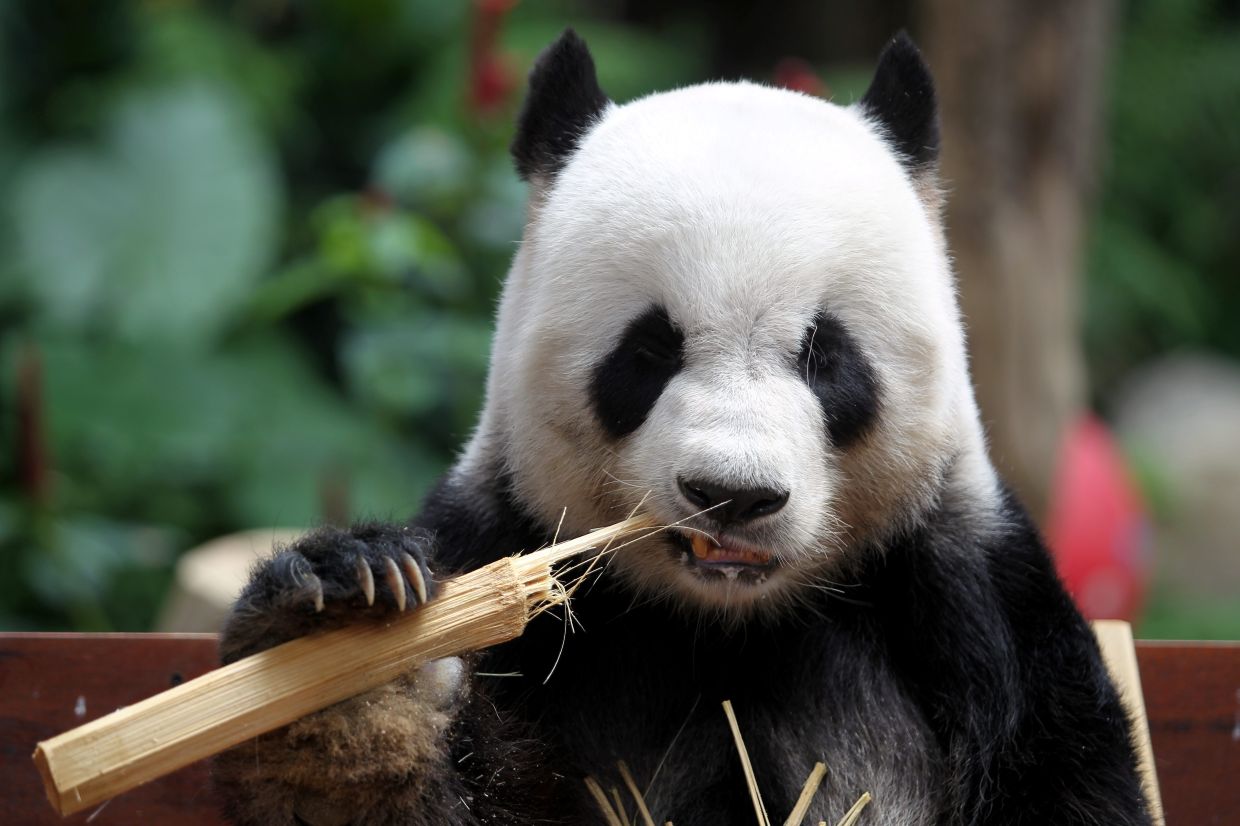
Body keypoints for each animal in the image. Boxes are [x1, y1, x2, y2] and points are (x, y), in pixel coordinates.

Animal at [214, 30, 1152, 826]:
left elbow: (1067, 774)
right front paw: (349, 663)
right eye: (648, 351)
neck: (724, 618)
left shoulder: (972, 597)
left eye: (827, 357)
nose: (731, 497)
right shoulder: (497, 539)